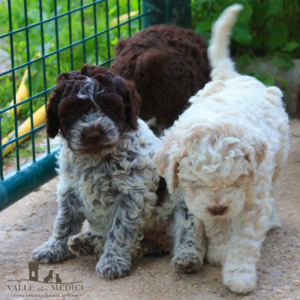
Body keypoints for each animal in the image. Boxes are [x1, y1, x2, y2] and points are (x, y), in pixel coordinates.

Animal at [32, 63, 178, 282]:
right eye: (73, 112)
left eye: (109, 108)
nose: (93, 134)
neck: (96, 160)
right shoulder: (69, 189)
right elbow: (64, 222)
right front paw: (54, 247)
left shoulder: (130, 195)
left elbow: (120, 231)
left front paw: (113, 262)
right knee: (141, 246)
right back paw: (86, 243)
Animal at [155, 4, 288, 292]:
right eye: (195, 184)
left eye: (236, 180)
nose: (219, 208)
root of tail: (233, 76)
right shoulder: (198, 202)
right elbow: (214, 225)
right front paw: (221, 249)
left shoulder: (254, 196)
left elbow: (246, 239)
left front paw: (239, 275)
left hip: (280, 158)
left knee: (274, 189)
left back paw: (272, 220)